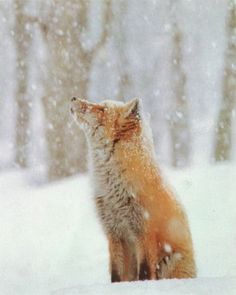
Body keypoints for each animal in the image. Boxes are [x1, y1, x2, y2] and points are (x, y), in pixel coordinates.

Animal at [71, 96, 196, 282]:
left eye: (102, 109)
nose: (73, 98)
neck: (114, 191)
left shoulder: (144, 232)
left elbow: (144, 273)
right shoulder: (115, 233)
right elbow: (116, 275)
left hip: (170, 261)